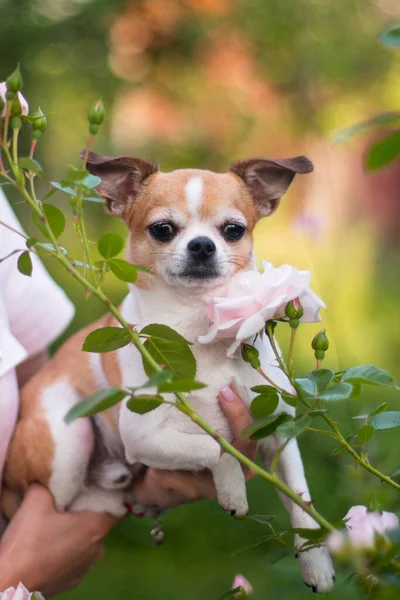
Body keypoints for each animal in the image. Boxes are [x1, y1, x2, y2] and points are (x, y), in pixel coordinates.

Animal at [3, 152, 334, 592]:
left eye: (233, 230)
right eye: (162, 229)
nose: (202, 244)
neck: (198, 323)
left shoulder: (279, 434)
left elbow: (302, 502)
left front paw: (317, 564)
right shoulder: (144, 437)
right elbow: (216, 445)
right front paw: (233, 490)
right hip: (66, 439)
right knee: (62, 502)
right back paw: (111, 497)